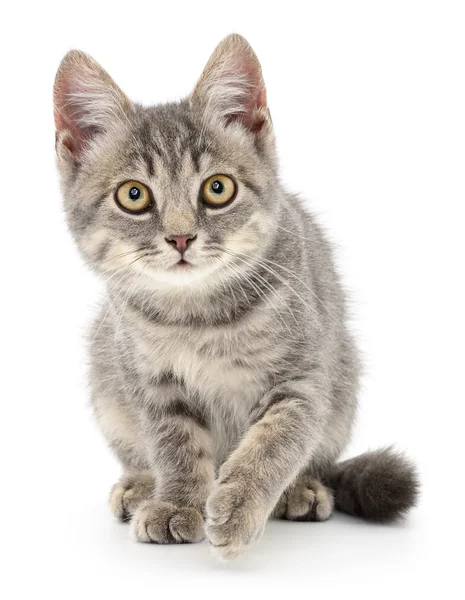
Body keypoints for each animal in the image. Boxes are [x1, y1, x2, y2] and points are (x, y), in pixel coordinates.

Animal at [53, 34, 416, 564]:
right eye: (134, 195)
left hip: (343, 380)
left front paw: (240, 507)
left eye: (217, 188)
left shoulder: (302, 378)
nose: (181, 237)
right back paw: (141, 485)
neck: (197, 315)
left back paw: (301, 489)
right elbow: (176, 446)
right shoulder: (151, 381)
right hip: (106, 379)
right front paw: (176, 503)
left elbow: (272, 445)